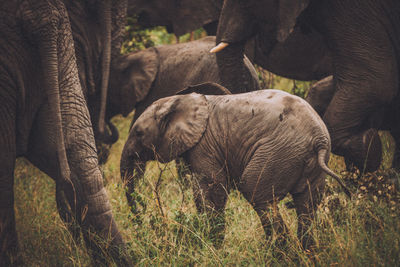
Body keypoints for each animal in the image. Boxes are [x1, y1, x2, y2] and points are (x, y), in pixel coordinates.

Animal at [120, 83, 348, 249]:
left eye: (138, 133)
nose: (141, 221)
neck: (179, 101)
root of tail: (319, 139)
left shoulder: (205, 145)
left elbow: (211, 189)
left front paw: (212, 246)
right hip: (305, 160)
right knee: (306, 204)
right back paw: (306, 252)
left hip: (279, 151)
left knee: (258, 194)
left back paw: (279, 251)